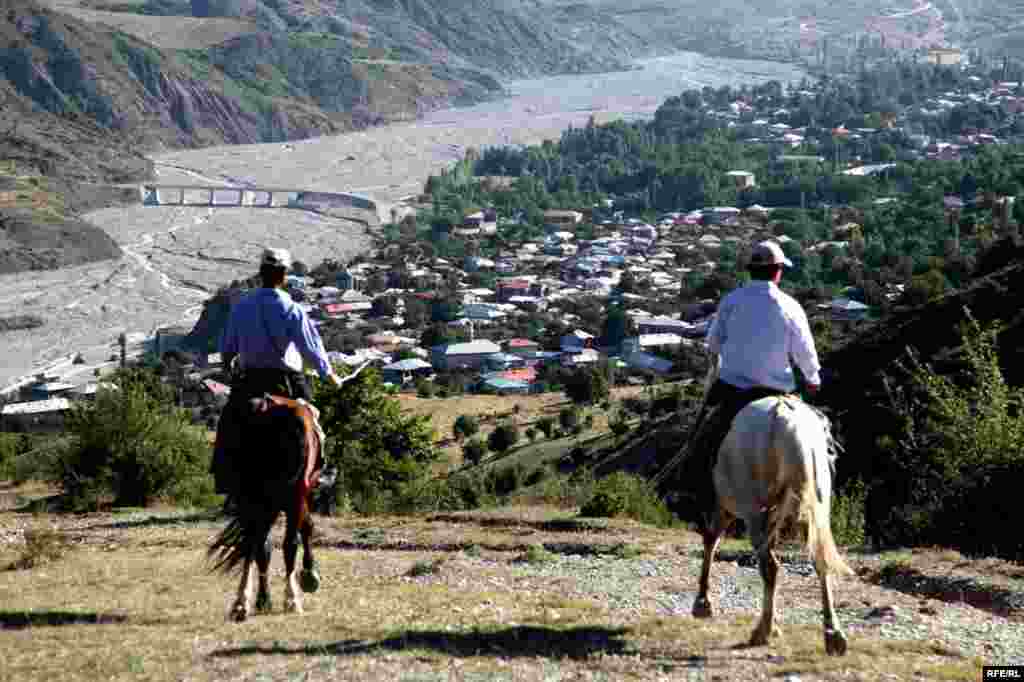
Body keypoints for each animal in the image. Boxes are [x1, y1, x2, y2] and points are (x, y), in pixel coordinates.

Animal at [692, 360, 851, 655]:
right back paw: (833, 635)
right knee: (819, 560)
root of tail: (786, 421)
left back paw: (762, 631)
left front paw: (702, 604)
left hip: (754, 513)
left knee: (770, 567)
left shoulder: (724, 506)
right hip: (813, 507)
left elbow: (711, 540)